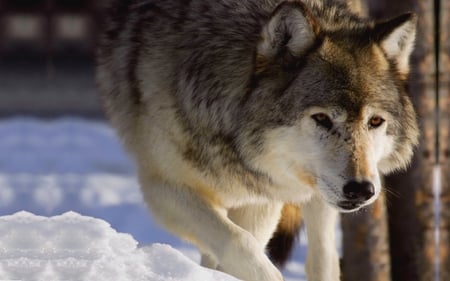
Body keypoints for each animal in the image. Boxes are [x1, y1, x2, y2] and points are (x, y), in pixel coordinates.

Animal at [96, 1, 420, 278]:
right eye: (322, 118)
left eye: (375, 121)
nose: (361, 190)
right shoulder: (164, 186)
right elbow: (240, 243)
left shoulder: (262, 196)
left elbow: (246, 243)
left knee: (323, 256)